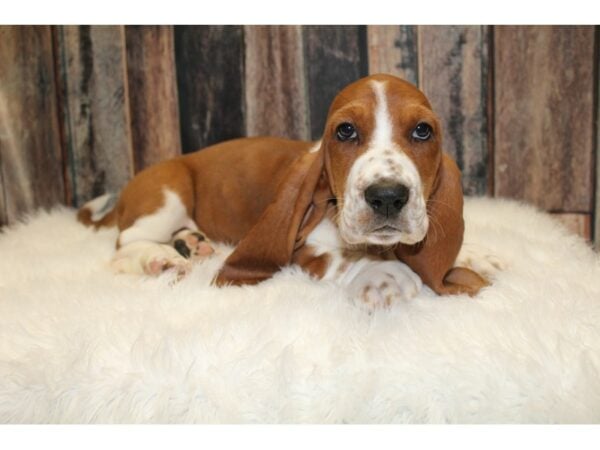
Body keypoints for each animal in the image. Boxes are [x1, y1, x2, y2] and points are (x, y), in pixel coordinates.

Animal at [79, 74, 490, 306]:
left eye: (423, 131)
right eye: (345, 131)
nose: (387, 196)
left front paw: (474, 255)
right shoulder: (302, 251)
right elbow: (346, 259)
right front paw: (383, 272)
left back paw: (195, 245)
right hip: (169, 196)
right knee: (124, 244)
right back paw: (158, 258)